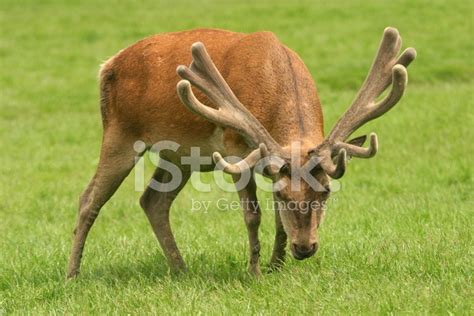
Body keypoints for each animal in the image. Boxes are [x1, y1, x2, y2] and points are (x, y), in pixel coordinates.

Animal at [65, 27, 414, 278]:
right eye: (285, 195)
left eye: (326, 191)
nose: (305, 248)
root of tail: (108, 65)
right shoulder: (235, 149)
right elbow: (253, 214)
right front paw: (255, 271)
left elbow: (277, 220)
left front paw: (276, 265)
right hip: (120, 132)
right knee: (89, 199)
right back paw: (73, 274)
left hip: (178, 156)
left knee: (153, 200)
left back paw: (181, 270)